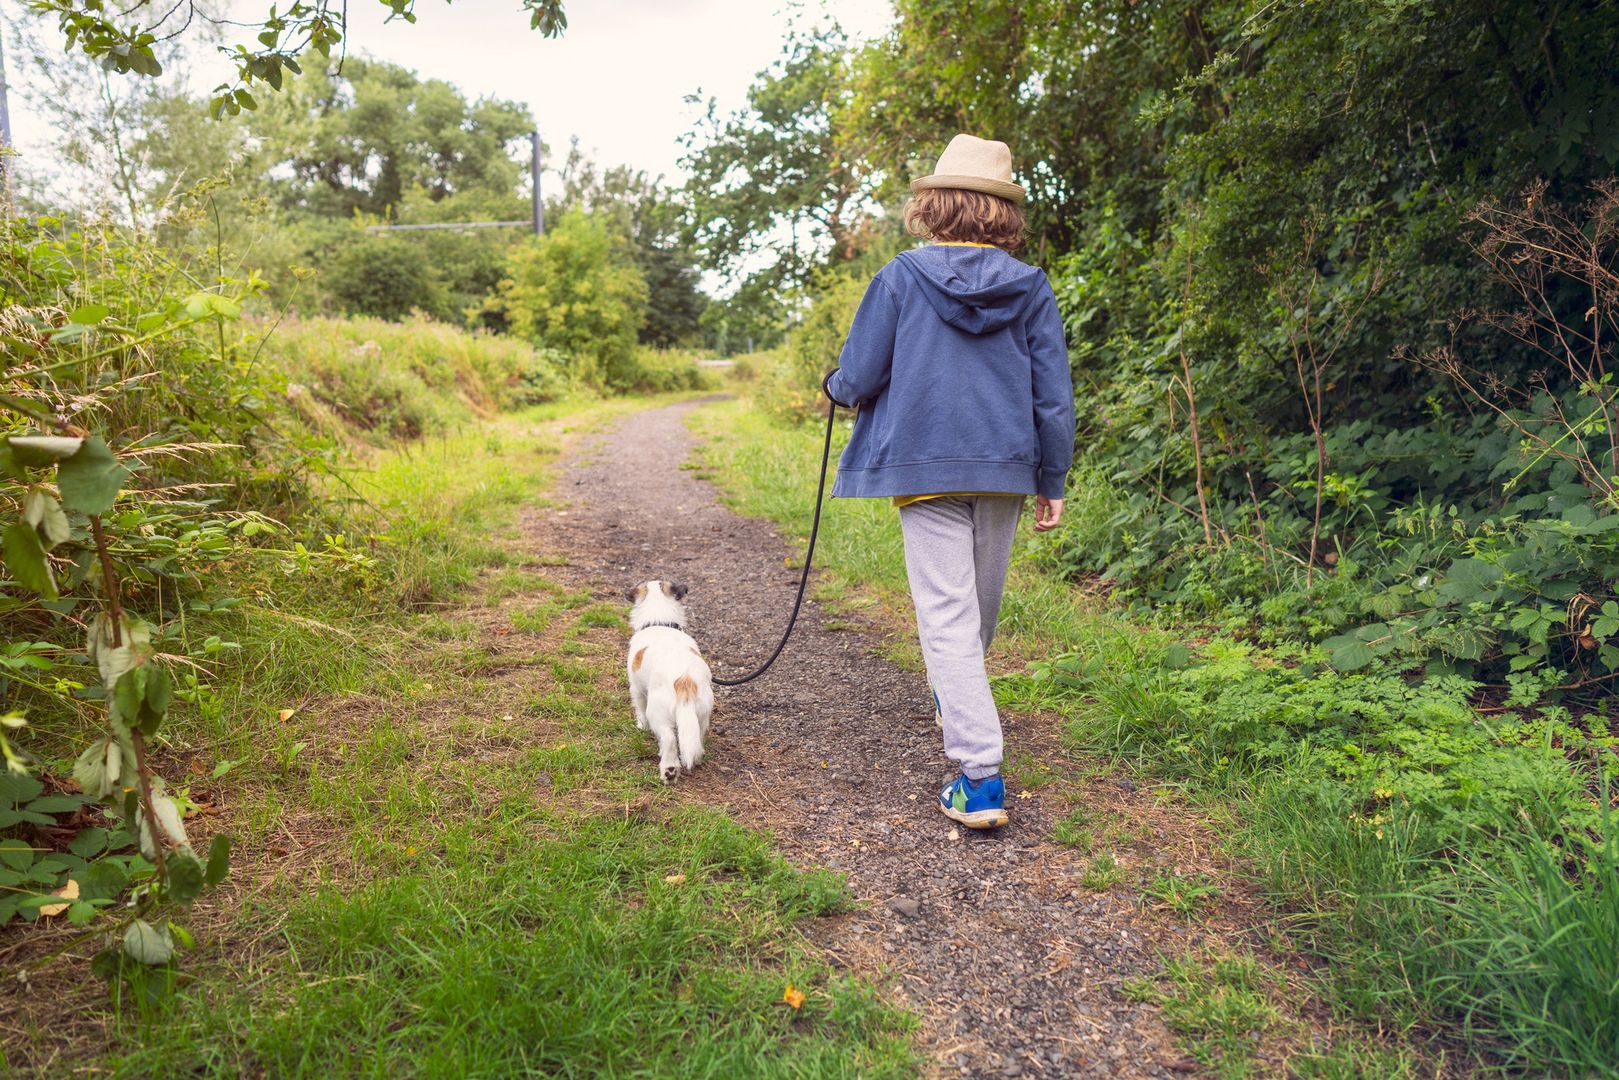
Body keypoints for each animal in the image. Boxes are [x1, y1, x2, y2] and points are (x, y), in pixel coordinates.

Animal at [624, 582, 715, 786]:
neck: (659, 621)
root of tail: (685, 680)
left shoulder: (637, 689)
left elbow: (639, 709)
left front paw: (641, 726)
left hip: (658, 714)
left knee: (669, 740)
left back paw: (669, 771)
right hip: (700, 716)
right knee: (695, 740)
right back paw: (696, 759)